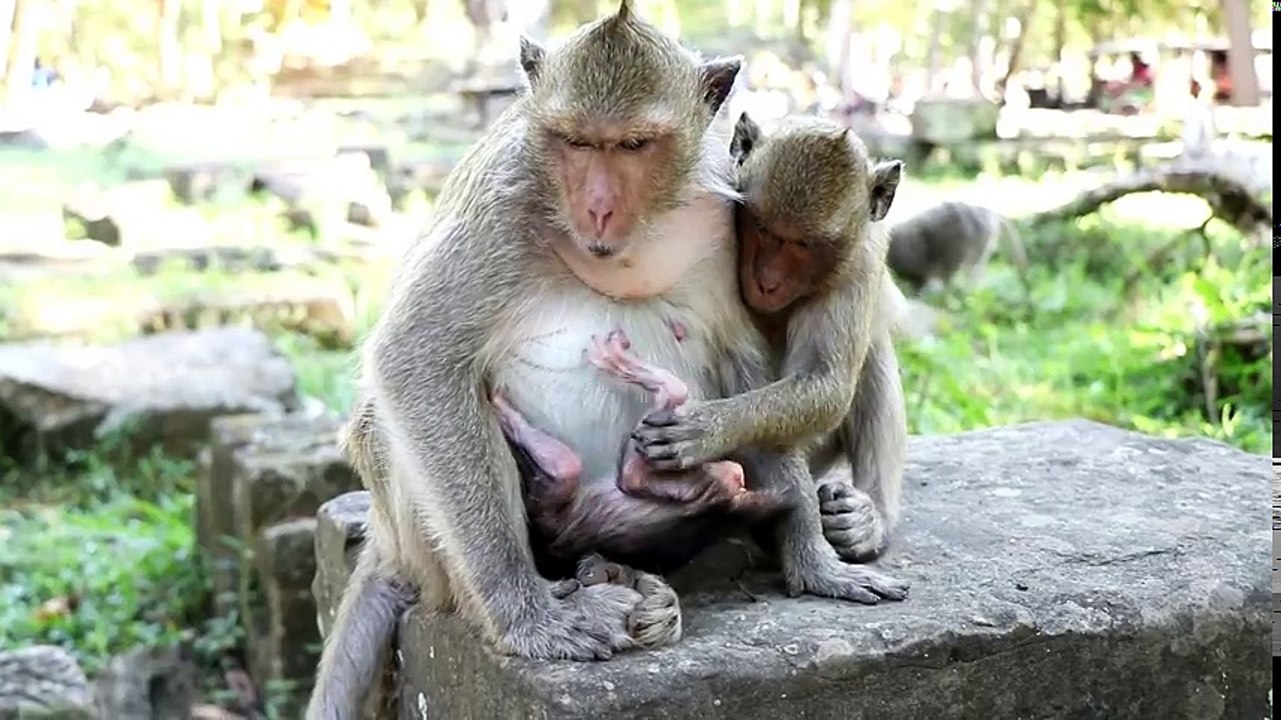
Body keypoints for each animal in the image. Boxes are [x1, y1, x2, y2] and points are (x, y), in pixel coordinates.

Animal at [629, 112, 909, 564]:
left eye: (805, 245)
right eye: (763, 228)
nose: (768, 280)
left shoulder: (860, 259)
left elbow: (826, 382)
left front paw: (704, 430)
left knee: (872, 351)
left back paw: (869, 520)